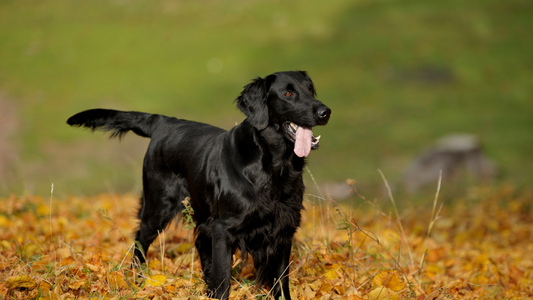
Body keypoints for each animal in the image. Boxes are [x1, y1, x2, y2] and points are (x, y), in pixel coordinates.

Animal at [67, 71, 328, 300]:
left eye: (311, 89)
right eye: (288, 93)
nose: (326, 112)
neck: (272, 166)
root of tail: (163, 122)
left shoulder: (284, 229)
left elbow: (281, 281)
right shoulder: (224, 228)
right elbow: (223, 280)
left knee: (200, 244)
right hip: (158, 207)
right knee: (140, 242)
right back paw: (137, 280)